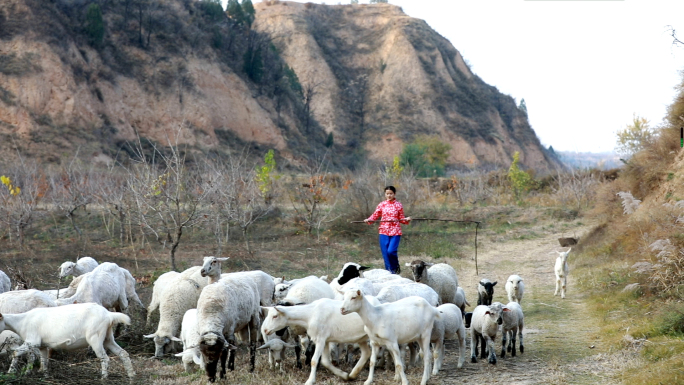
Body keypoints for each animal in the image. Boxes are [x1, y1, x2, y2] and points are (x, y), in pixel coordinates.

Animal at [0, 304, 135, 378]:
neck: (21, 322)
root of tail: (109, 315)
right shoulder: (43, 345)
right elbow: (44, 360)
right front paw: (44, 374)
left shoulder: (32, 341)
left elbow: (15, 353)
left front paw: (10, 372)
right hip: (107, 337)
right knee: (123, 353)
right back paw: (131, 375)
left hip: (95, 337)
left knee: (104, 358)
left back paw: (104, 377)